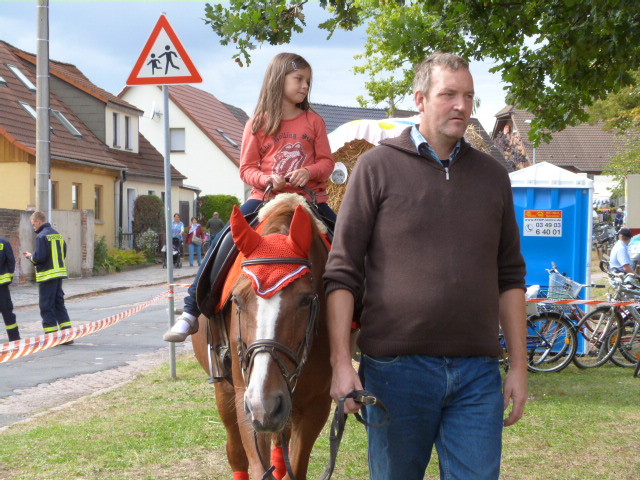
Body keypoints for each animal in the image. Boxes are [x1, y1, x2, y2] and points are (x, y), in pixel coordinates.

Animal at [191, 195, 332, 480]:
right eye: (237, 299)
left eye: (305, 299)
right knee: (235, 453)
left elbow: (294, 467)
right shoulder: (247, 400)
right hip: (227, 392)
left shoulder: (316, 405)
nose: (265, 405)